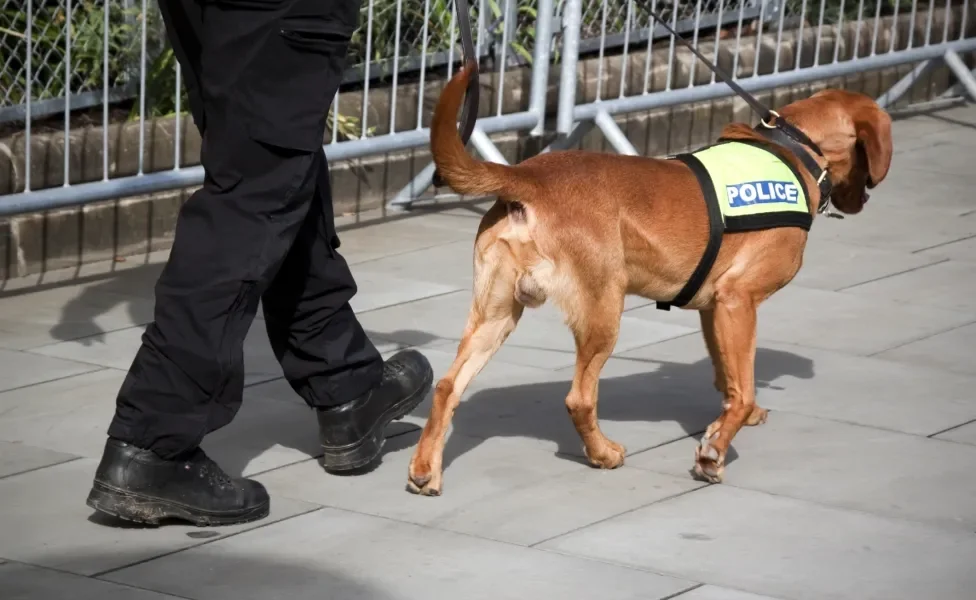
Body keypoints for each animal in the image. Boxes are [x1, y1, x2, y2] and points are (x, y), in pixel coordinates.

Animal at [404, 61, 892, 494]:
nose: (864, 201)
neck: (793, 151)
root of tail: (528, 176)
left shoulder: (716, 309)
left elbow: (730, 378)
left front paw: (730, 420)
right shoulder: (739, 299)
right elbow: (743, 387)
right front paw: (715, 451)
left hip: (496, 316)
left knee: (447, 386)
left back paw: (426, 469)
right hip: (603, 310)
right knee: (579, 398)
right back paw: (602, 454)